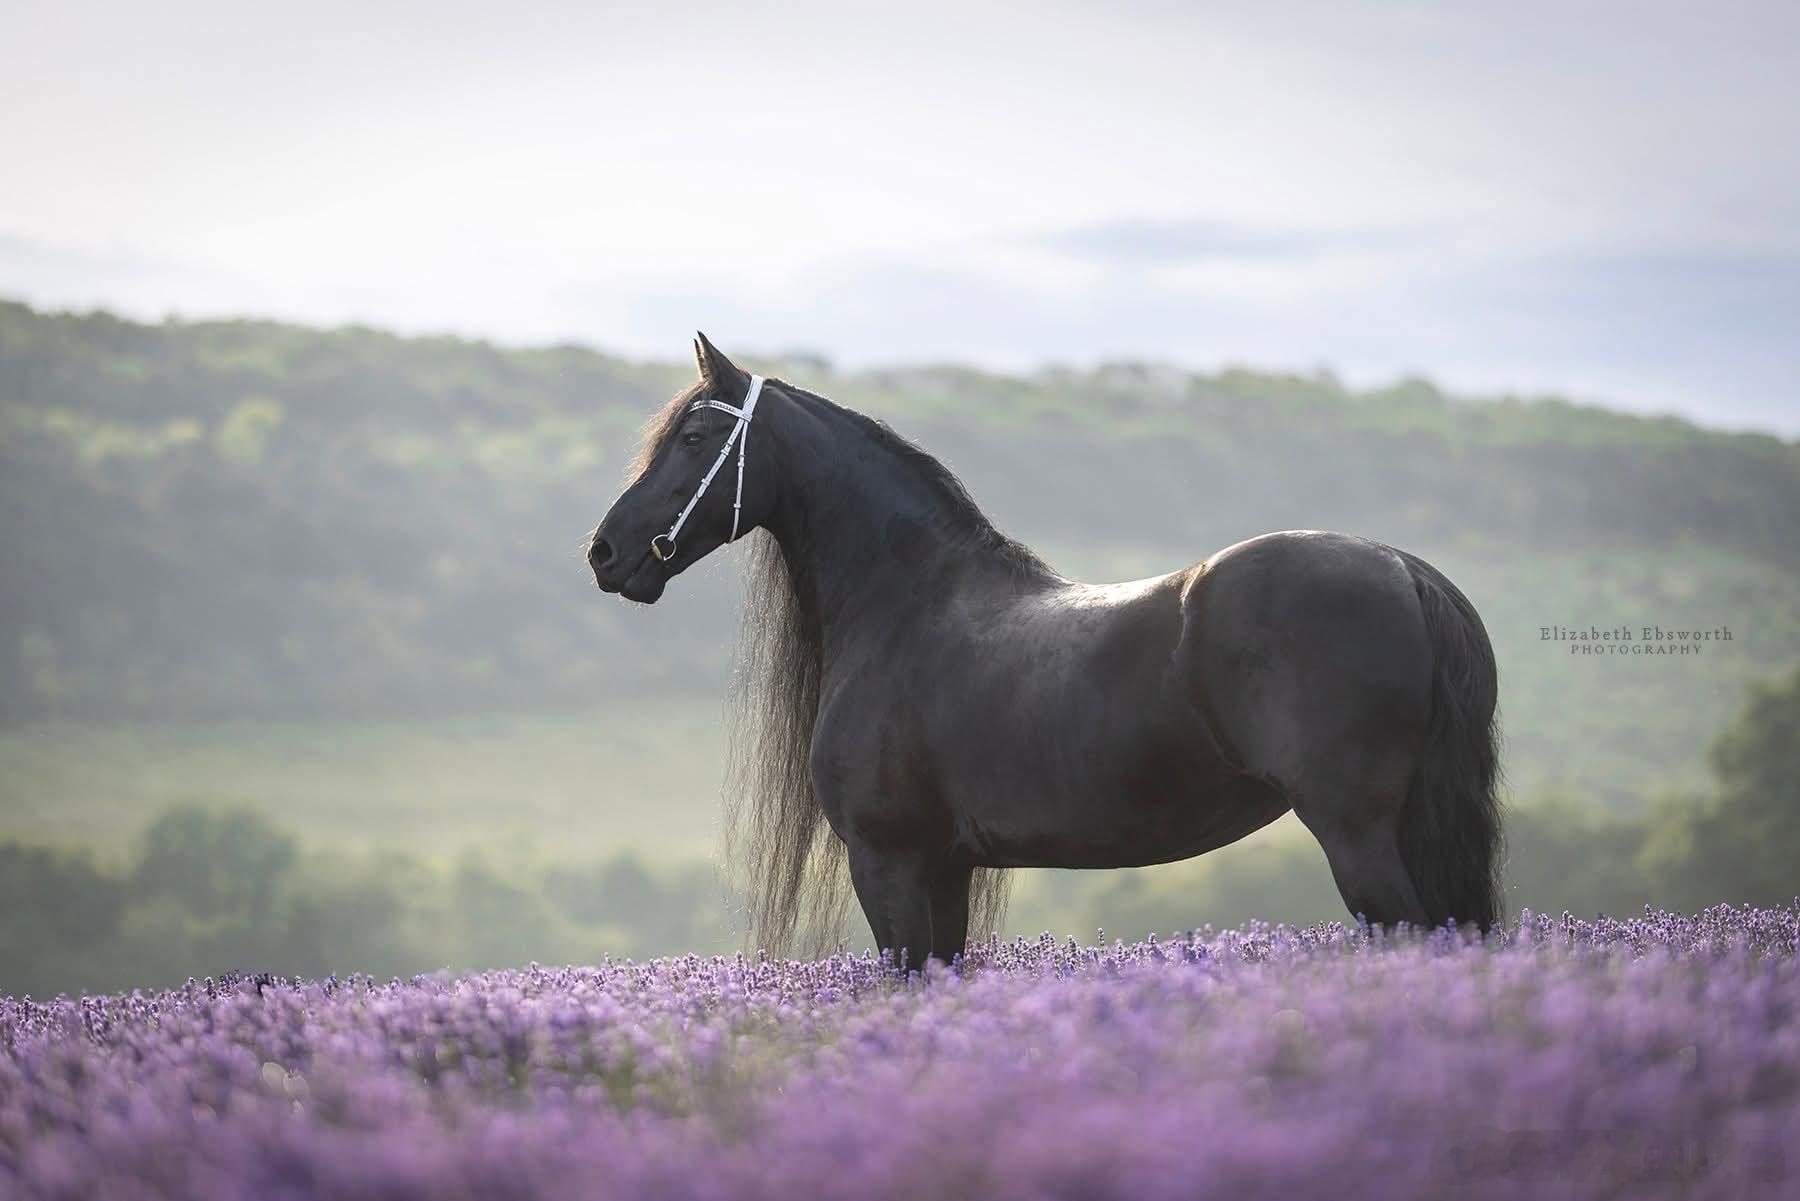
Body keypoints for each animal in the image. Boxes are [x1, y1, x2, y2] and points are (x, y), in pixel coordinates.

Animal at [587, 334, 1503, 972]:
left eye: (695, 436)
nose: (604, 551)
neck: (909, 600)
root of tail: (1403, 569)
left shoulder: (890, 863)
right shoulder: (945, 868)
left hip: (1357, 834)